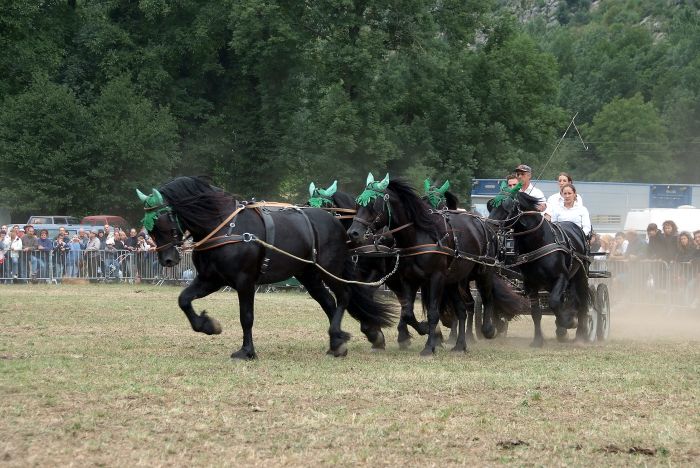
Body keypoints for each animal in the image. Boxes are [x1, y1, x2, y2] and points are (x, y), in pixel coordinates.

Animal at [136, 177, 394, 360]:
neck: (225, 228)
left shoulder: (244, 281)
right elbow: (184, 299)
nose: (168, 260)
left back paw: (348, 337)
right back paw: (338, 342)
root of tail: (337, 224)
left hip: (329, 269)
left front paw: (247, 351)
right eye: (150, 227)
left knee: (344, 296)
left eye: (164, 222)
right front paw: (208, 326)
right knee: (329, 302)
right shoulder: (211, 279)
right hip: (308, 275)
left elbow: (246, 316)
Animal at [348, 176, 524, 354]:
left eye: (372, 205)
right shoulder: (407, 279)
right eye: (358, 204)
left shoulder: (435, 278)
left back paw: (488, 329)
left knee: (487, 298)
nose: (353, 232)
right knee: (463, 308)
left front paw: (429, 346)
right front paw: (422, 330)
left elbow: (433, 312)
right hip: (454, 280)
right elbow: (407, 312)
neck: (418, 236)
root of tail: (486, 226)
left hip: (483, 271)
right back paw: (460, 344)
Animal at [486, 188, 592, 346]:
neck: (539, 241)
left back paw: (581, 335)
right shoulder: (530, 283)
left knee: (582, 302)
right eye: (491, 206)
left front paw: (568, 322)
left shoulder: (561, 277)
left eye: (506, 207)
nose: (488, 227)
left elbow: (554, 302)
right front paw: (537, 340)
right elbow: (536, 312)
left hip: (580, 275)